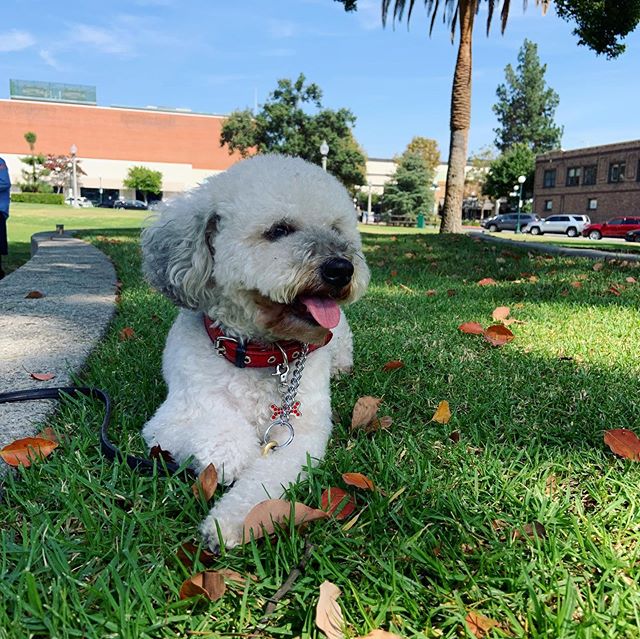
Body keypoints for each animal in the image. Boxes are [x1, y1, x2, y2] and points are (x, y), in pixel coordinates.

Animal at [140, 152, 370, 548]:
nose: (341, 268)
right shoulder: (166, 422)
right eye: (278, 230)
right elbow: (214, 425)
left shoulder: (301, 436)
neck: (264, 356)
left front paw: (229, 522)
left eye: (337, 229)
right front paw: (230, 455)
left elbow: (261, 485)